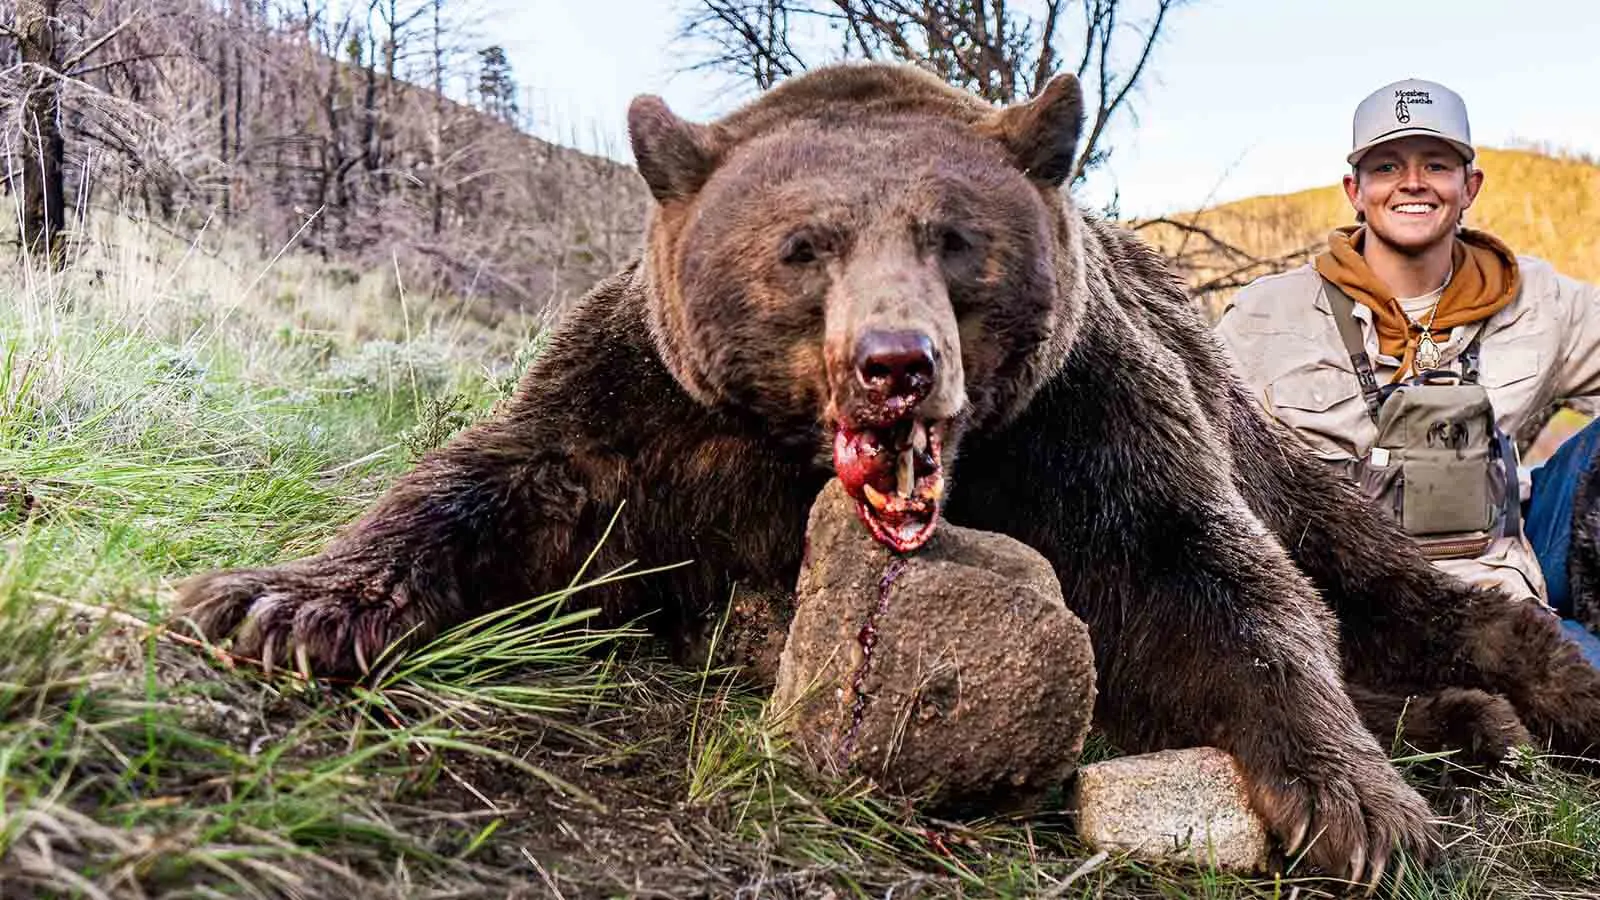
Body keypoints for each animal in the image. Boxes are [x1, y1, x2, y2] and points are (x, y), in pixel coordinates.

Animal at [175, 63, 1600, 887]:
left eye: (956, 239)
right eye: (802, 245)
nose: (894, 364)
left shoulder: (1083, 429)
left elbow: (1215, 579)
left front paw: (1354, 805)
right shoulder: (648, 409)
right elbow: (503, 480)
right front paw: (282, 603)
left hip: (1285, 461)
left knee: (1386, 587)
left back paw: (1530, 704)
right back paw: (1468, 725)